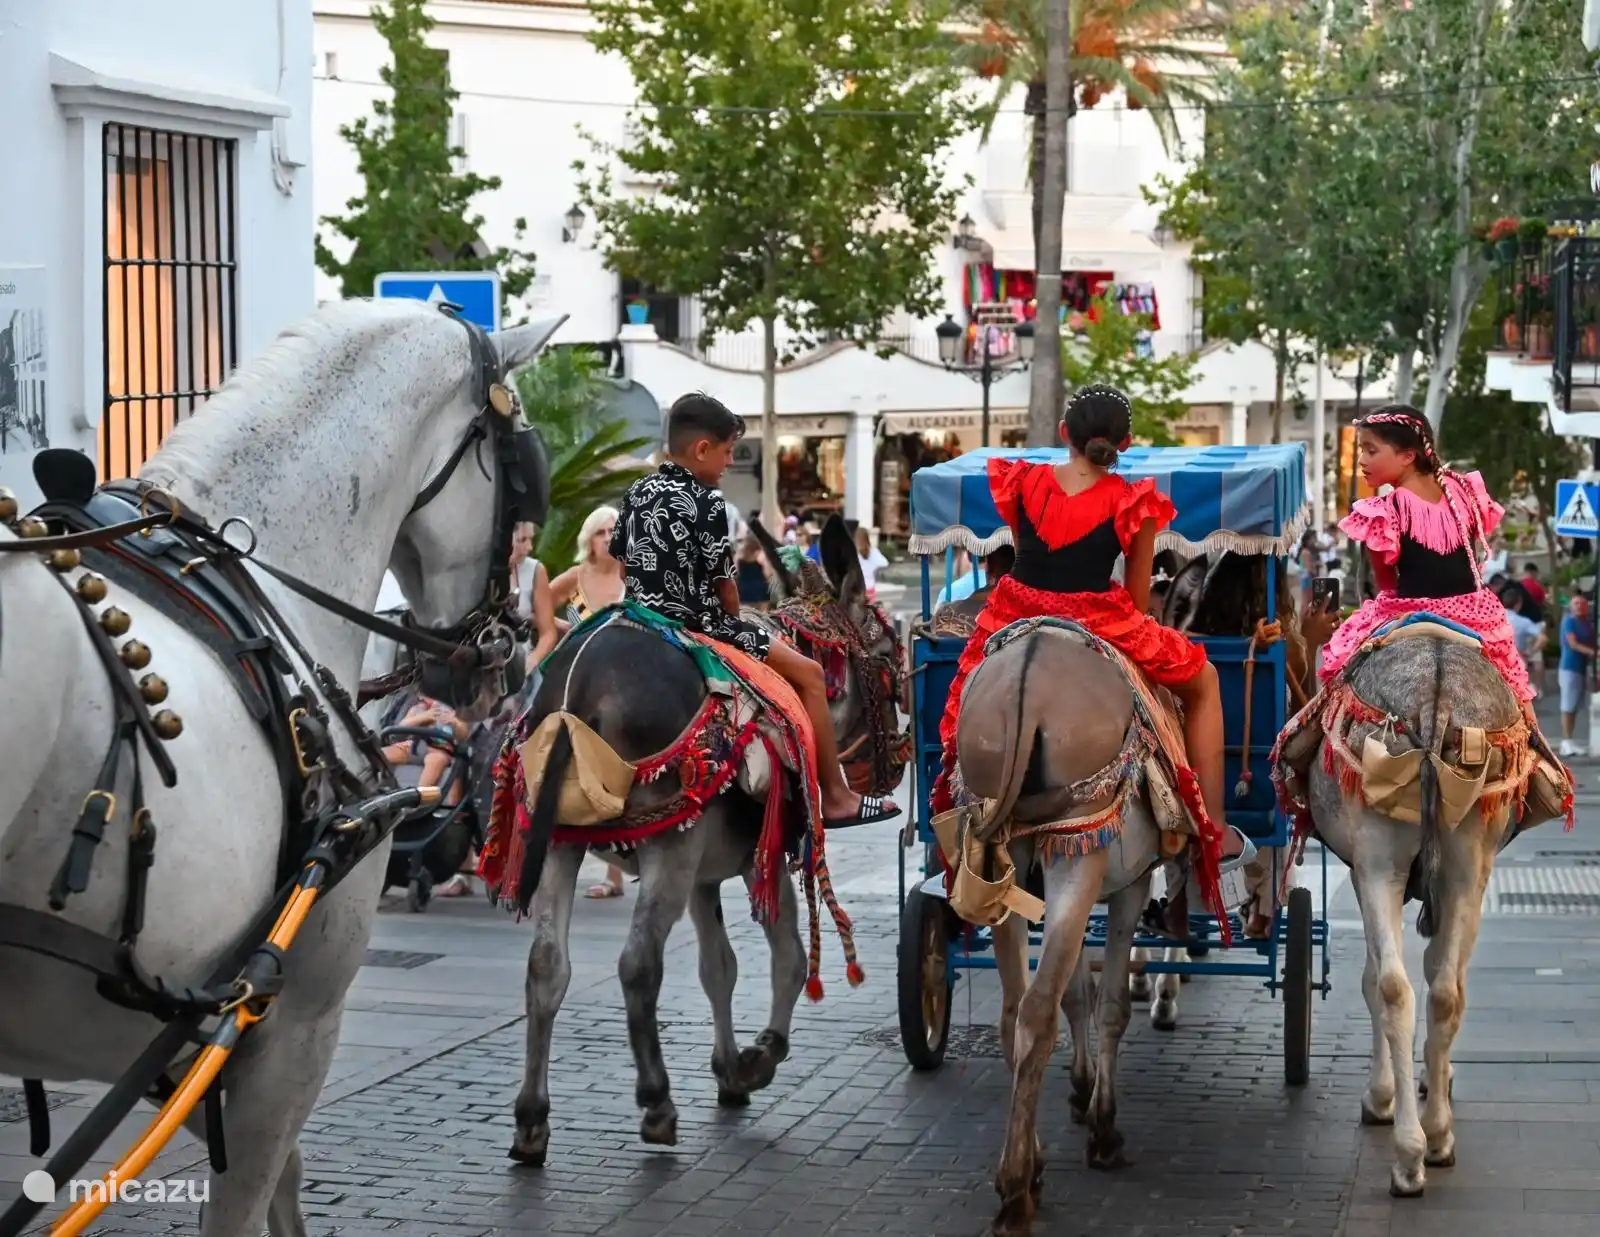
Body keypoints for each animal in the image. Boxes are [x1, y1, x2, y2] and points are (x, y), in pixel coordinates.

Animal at [0, 298, 559, 1235]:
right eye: (529, 478)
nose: (508, 655)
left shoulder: (200, 1030)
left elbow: (282, 1179)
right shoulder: (292, 1016)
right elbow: (256, 1188)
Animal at [501, 514, 905, 1166]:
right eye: (891, 657)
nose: (897, 758)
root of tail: (576, 691)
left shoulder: (704, 871)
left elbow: (720, 967)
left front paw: (729, 1071)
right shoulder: (760, 855)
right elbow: (789, 959)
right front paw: (760, 1056)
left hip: (566, 841)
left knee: (546, 967)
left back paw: (532, 1120)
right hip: (666, 847)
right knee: (639, 965)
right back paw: (656, 1102)